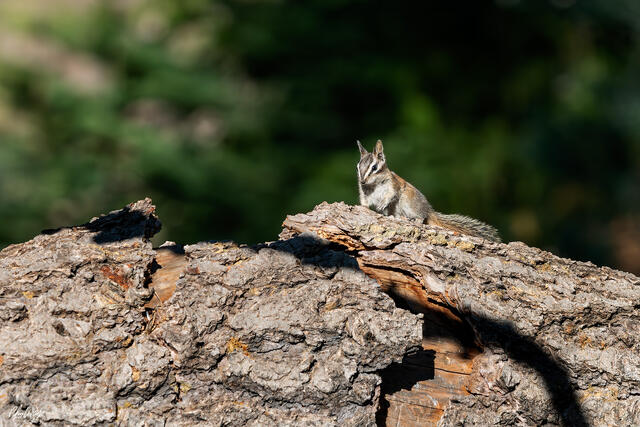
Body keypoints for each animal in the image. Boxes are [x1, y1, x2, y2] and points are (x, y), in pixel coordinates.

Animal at [356, 139, 501, 242]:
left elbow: (391, 194)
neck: (373, 185)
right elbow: (364, 201)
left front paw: (382, 203)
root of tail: (429, 211)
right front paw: (362, 207)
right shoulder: (364, 192)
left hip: (409, 201)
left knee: (422, 217)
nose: (362, 181)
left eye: (374, 167)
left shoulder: (393, 184)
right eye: (358, 166)